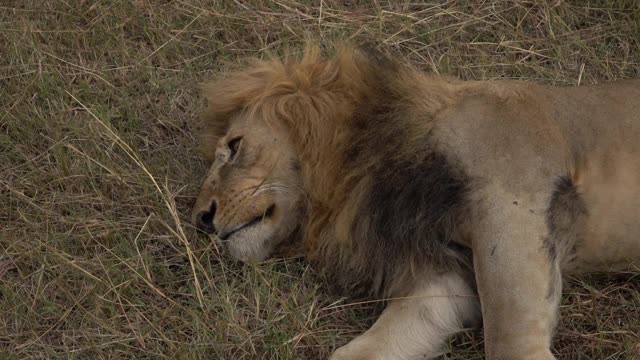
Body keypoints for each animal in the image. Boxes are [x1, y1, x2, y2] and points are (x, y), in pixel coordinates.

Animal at [191, 45, 640, 360]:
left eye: (234, 146)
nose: (201, 218)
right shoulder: (445, 276)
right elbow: (362, 349)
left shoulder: (512, 200)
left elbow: (509, 340)